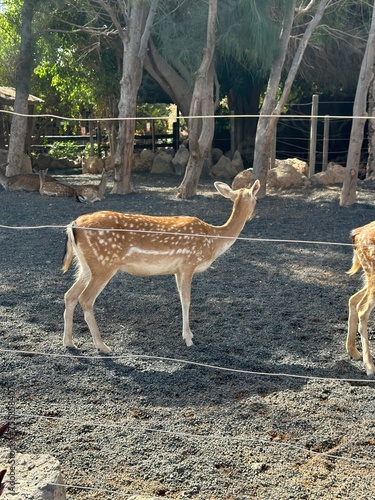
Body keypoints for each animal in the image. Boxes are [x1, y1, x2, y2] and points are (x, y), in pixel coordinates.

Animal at [61, 180, 262, 352]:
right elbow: (187, 300)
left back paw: (69, 342)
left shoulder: (177, 270)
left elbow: (181, 298)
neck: (213, 239)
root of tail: (73, 225)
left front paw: (187, 335)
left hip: (86, 265)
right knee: (85, 299)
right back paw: (102, 346)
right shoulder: (189, 263)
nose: (254, 215)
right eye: (256, 198)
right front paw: (189, 339)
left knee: (70, 295)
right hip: (104, 264)